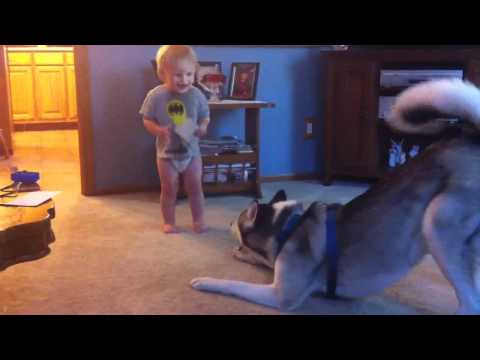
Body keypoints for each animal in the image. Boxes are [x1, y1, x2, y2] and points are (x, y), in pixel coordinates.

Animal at [191, 78, 480, 312]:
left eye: (238, 219)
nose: (229, 222)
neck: (286, 228)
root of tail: (470, 139)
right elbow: (260, 260)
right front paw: (244, 254)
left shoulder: (281, 295)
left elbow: (233, 284)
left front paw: (206, 281)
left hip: (437, 222)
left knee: (470, 303)